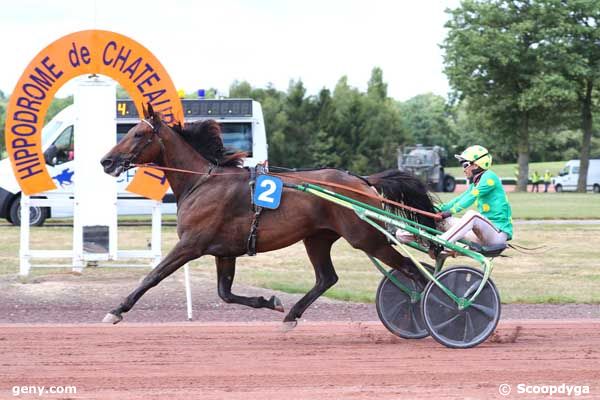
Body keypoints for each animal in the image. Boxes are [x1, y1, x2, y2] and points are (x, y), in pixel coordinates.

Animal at [99, 104, 436, 328]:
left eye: (138, 133)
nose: (106, 161)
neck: (202, 181)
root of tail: (363, 181)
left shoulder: (191, 244)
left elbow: (152, 276)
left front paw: (116, 310)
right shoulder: (224, 251)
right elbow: (225, 293)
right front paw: (270, 302)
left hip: (366, 238)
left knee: (414, 270)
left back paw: (430, 309)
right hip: (317, 238)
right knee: (327, 277)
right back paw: (291, 315)